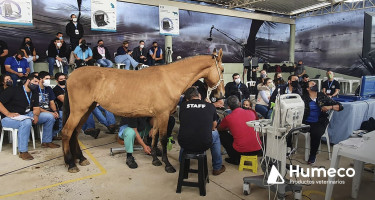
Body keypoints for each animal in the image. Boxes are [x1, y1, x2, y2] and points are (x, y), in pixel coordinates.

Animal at [62, 49, 225, 173]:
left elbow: (154, 137)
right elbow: (163, 139)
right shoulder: (164, 115)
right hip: (78, 111)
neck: (170, 79)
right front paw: (168, 165)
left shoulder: (158, 116)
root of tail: (71, 75)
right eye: (222, 70)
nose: (221, 95)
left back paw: (81, 159)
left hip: (87, 110)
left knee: (75, 132)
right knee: (67, 132)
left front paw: (155, 159)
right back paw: (71, 164)